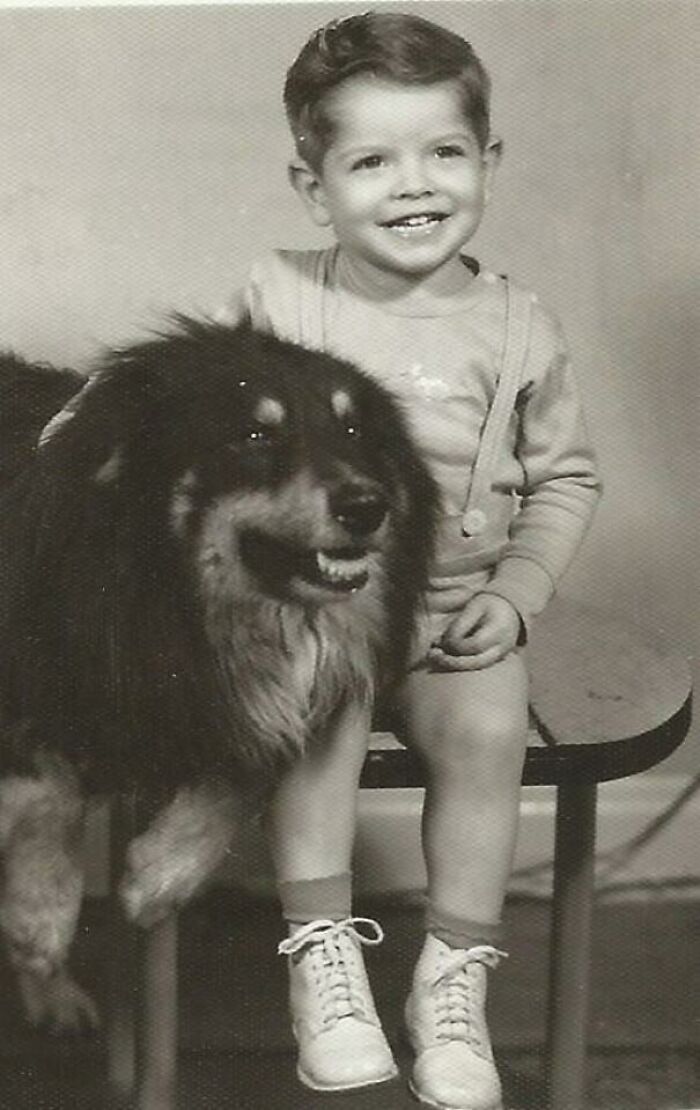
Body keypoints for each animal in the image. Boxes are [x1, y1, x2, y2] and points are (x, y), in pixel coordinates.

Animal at [0, 319, 434, 1030]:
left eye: (352, 430)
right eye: (255, 435)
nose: (366, 506)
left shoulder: (256, 700)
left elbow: (250, 772)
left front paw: (160, 874)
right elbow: (48, 792)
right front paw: (41, 915)